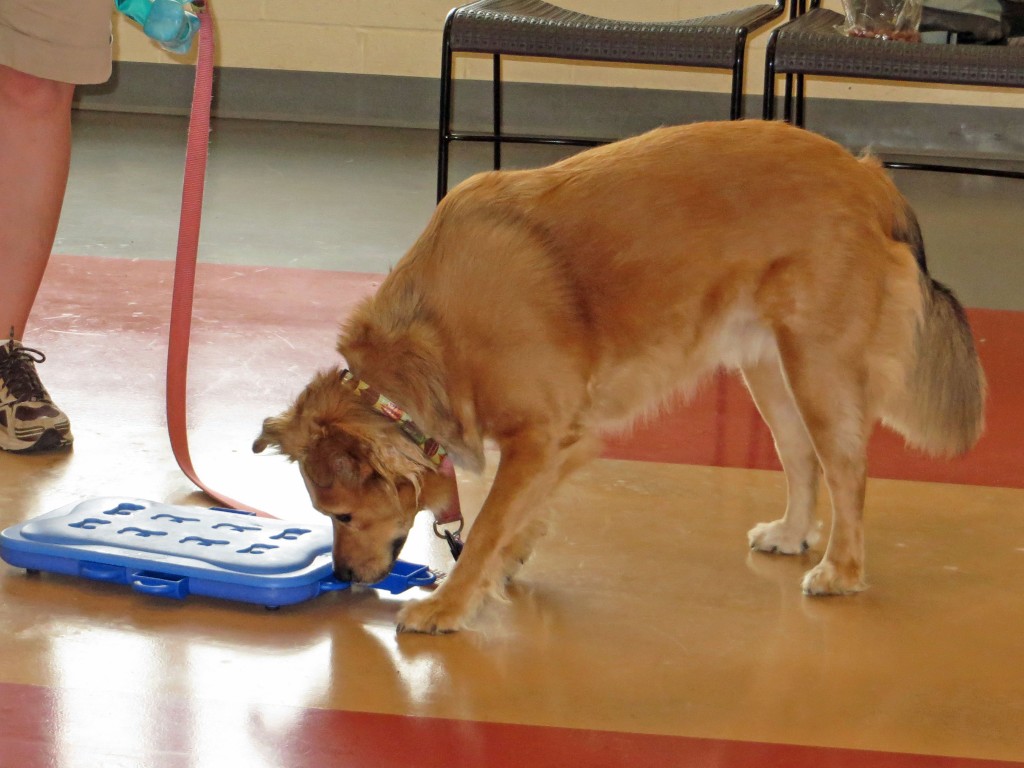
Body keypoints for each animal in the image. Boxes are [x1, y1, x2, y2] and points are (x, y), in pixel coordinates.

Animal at [253, 120, 983, 634]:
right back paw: (791, 533)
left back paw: (841, 569)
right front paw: (506, 563)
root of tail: (868, 176)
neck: (433, 333)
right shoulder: (560, 438)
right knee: (800, 457)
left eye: (341, 513)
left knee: (847, 470)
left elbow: (486, 524)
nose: (344, 576)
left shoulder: (539, 436)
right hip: (769, 366)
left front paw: (451, 603)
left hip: (817, 367)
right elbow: (519, 515)